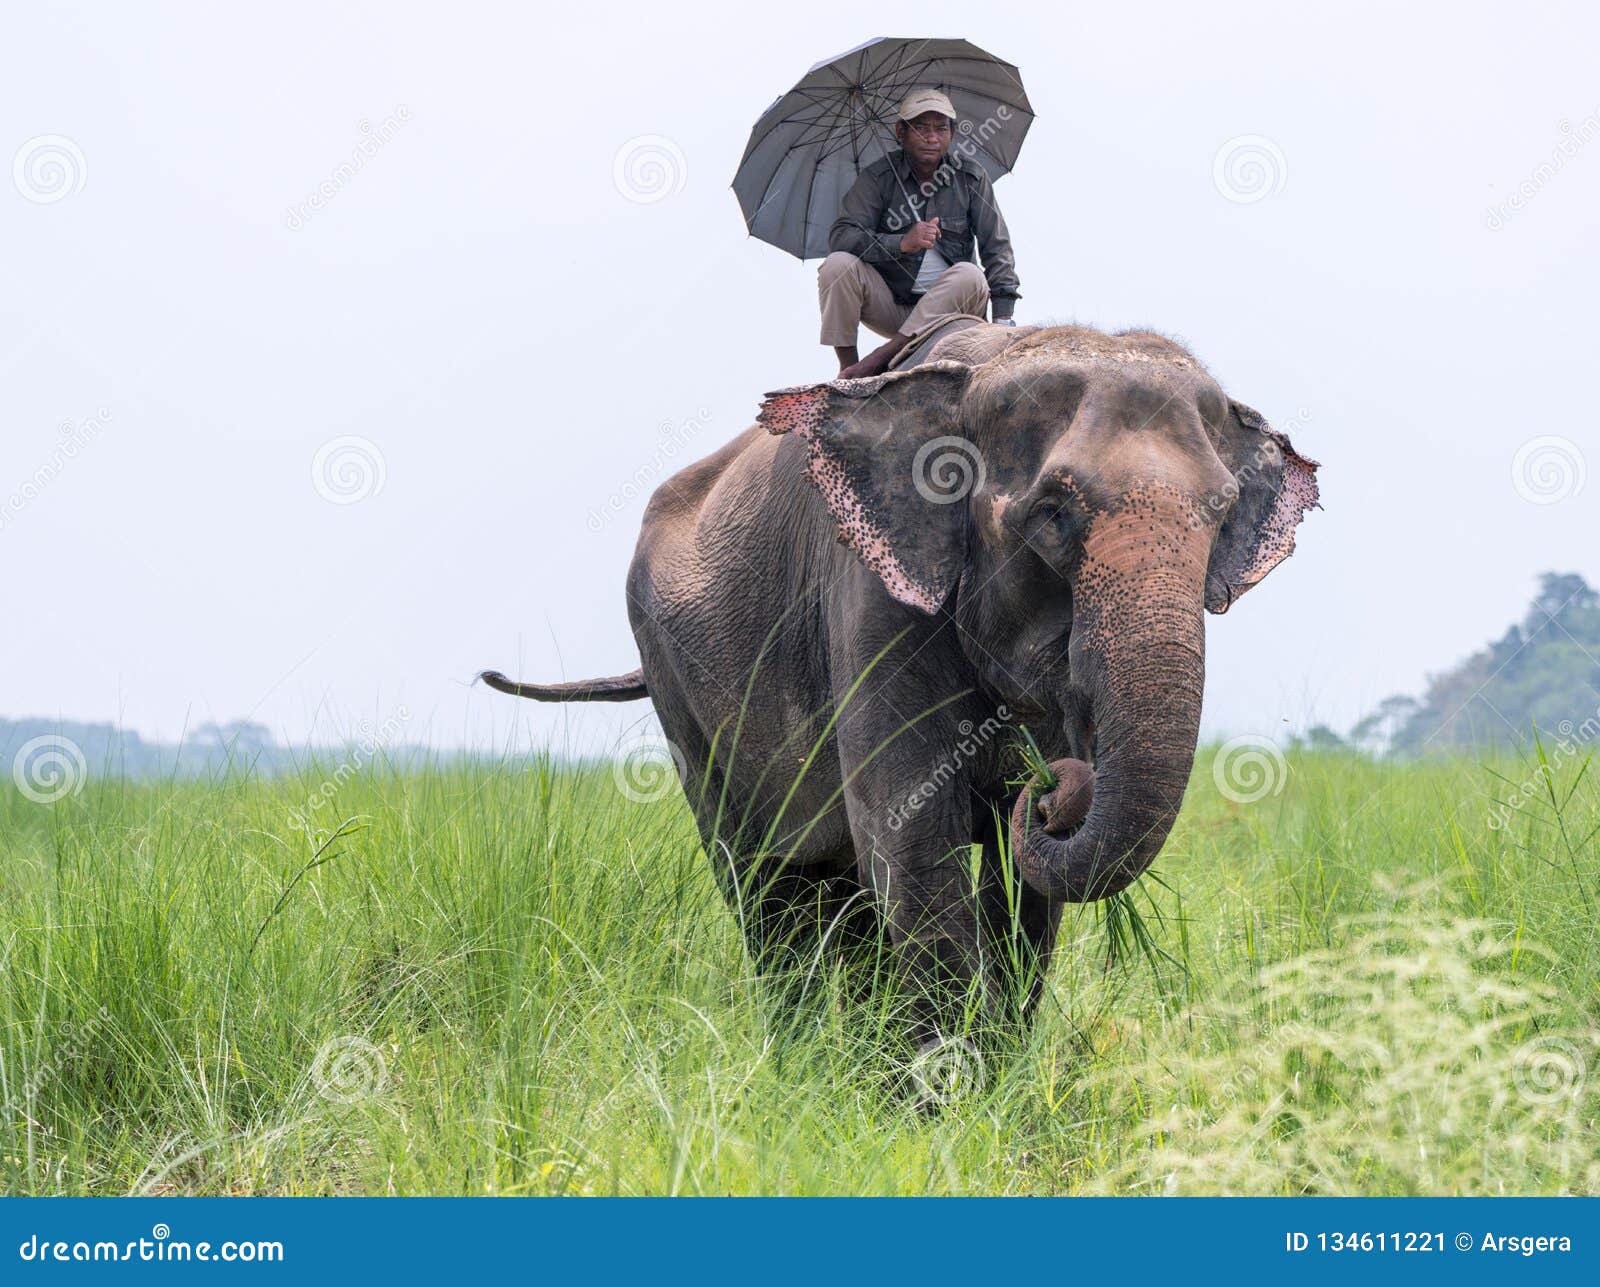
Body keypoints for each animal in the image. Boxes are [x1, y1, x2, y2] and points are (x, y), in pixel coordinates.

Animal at [480, 324, 1318, 1062]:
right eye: (1051, 514)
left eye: (1220, 513)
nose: (1053, 790)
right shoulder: (871, 598)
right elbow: (911, 836)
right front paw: (943, 1108)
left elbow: (1020, 893)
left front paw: (994, 1092)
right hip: (672, 678)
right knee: (761, 883)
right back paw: (809, 1072)